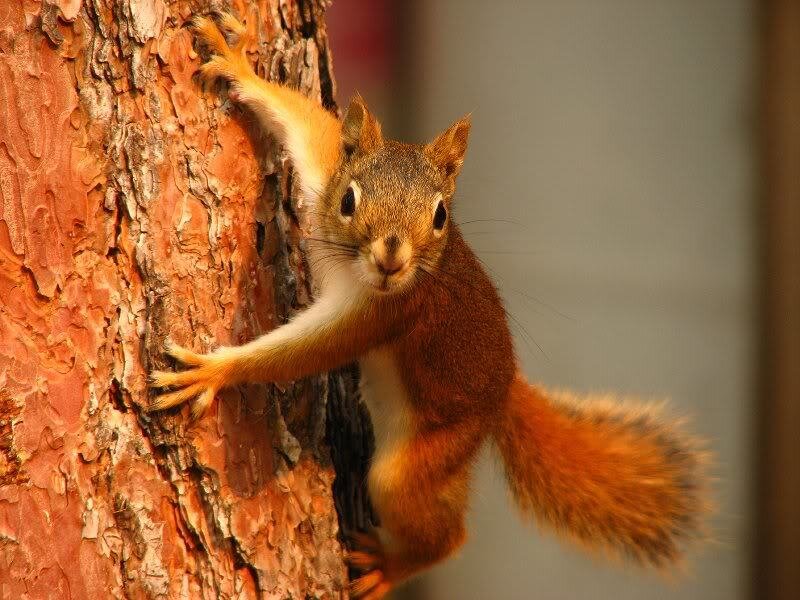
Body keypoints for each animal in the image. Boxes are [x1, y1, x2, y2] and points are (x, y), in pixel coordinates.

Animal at [149, 13, 709, 599]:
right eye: (348, 200)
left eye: (441, 215)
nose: (392, 259)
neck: (355, 269)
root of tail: (504, 390)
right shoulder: (325, 171)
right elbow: (310, 125)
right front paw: (239, 66)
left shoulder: (388, 312)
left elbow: (305, 352)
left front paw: (215, 370)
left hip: (428, 456)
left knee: (444, 534)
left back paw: (389, 567)